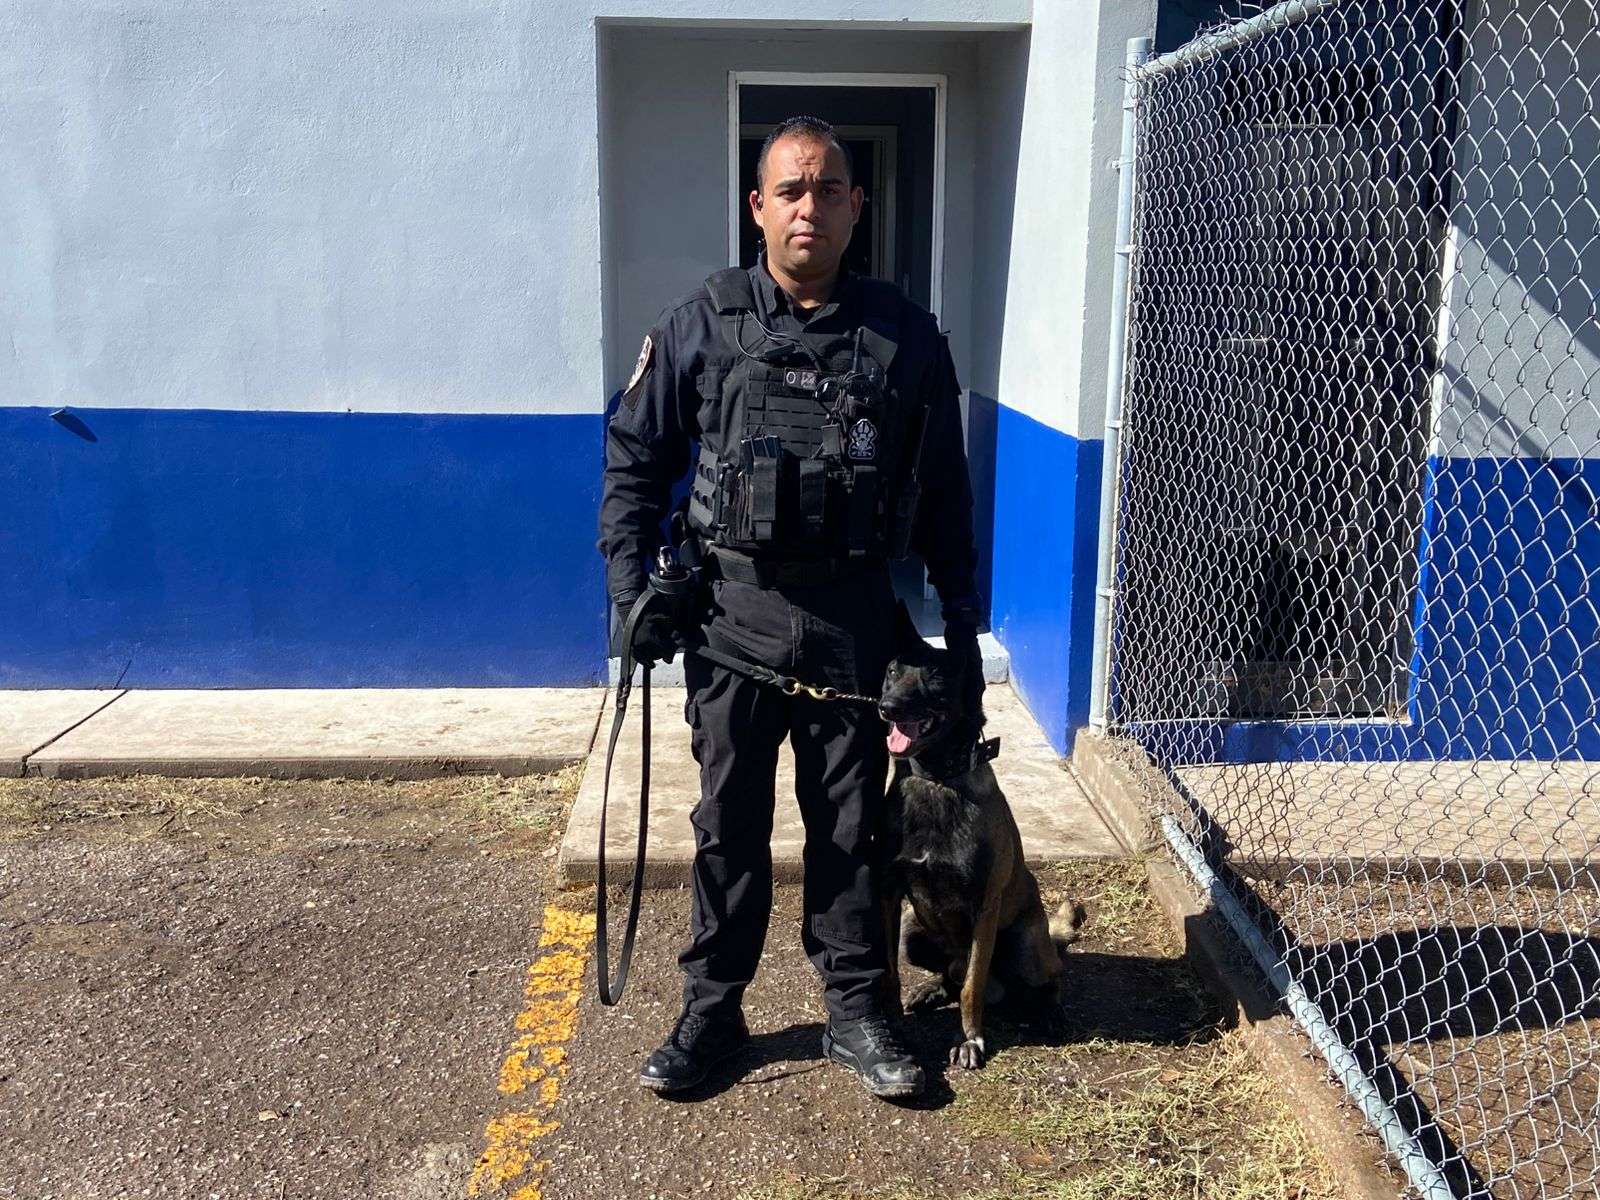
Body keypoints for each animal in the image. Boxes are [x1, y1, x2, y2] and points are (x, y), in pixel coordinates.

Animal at [878, 604, 1083, 1069]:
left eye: (936, 676)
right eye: (893, 672)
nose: (887, 707)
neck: (936, 779)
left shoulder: (983, 910)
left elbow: (973, 986)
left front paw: (970, 1039)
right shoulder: (890, 896)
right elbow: (889, 970)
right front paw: (893, 1018)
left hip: (1025, 946)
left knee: (1049, 976)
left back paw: (1052, 1011)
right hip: (912, 931)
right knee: (950, 975)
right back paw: (932, 988)